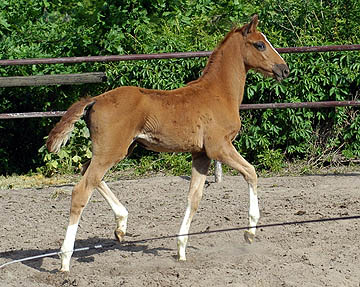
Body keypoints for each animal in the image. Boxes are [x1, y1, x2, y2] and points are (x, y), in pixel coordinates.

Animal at [47, 15, 290, 272]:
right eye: (260, 44)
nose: (284, 69)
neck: (218, 93)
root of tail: (95, 100)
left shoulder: (201, 155)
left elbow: (194, 197)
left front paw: (181, 250)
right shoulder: (219, 147)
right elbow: (251, 172)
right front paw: (250, 233)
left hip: (119, 149)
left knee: (88, 173)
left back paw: (121, 225)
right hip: (112, 151)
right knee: (81, 190)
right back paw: (65, 260)